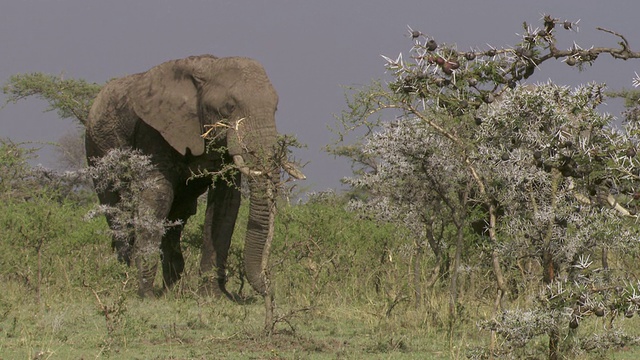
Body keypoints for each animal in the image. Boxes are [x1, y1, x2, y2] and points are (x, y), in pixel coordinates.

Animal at [85, 54, 304, 298]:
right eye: (229, 107)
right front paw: (146, 296)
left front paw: (212, 296)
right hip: (97, 147)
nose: (268, 291)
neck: (206, 71)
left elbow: (226, 202)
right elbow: (158, 194)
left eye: (275, 108)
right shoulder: (152, 130)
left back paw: (171, 288)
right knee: (119, 209)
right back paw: (125, 276)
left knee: (177, 216)